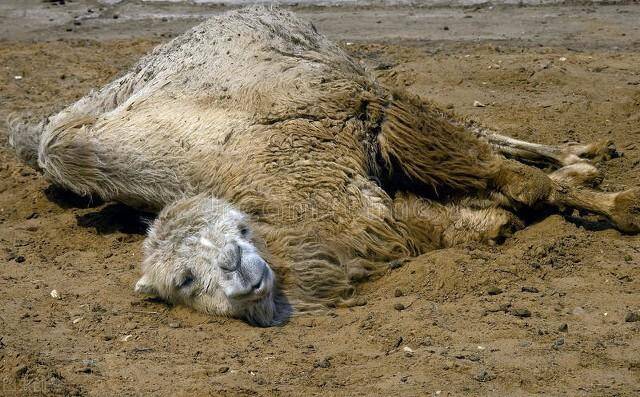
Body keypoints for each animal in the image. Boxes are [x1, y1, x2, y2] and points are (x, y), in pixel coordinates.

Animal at [6, 6, 640, 324]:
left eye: (237, 231)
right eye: (183, 282)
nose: (238, 275)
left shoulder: (358, 113)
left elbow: (516, 183)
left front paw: (620, 206)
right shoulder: (364, 200)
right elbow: (449, 220)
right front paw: (495, 222)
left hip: (349, 73)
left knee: (482, 135)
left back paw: (584, 159)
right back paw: (578, 163)